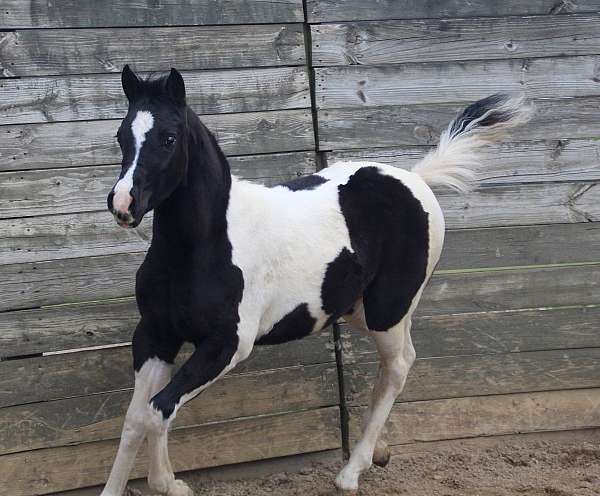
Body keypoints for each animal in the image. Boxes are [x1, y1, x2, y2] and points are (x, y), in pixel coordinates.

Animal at [101, 66, 532, 496]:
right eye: (121, 135)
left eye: (168, 138)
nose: (123, 205)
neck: (204, 245)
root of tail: (415, 178)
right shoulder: (156, 336)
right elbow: (136, 419)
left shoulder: (226, 345)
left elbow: (158, 410)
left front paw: (169, 484)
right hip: (360, 310)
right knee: (394, 365)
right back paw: (378, 452)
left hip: (386, 311)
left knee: (399, 365)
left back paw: (351, 472)